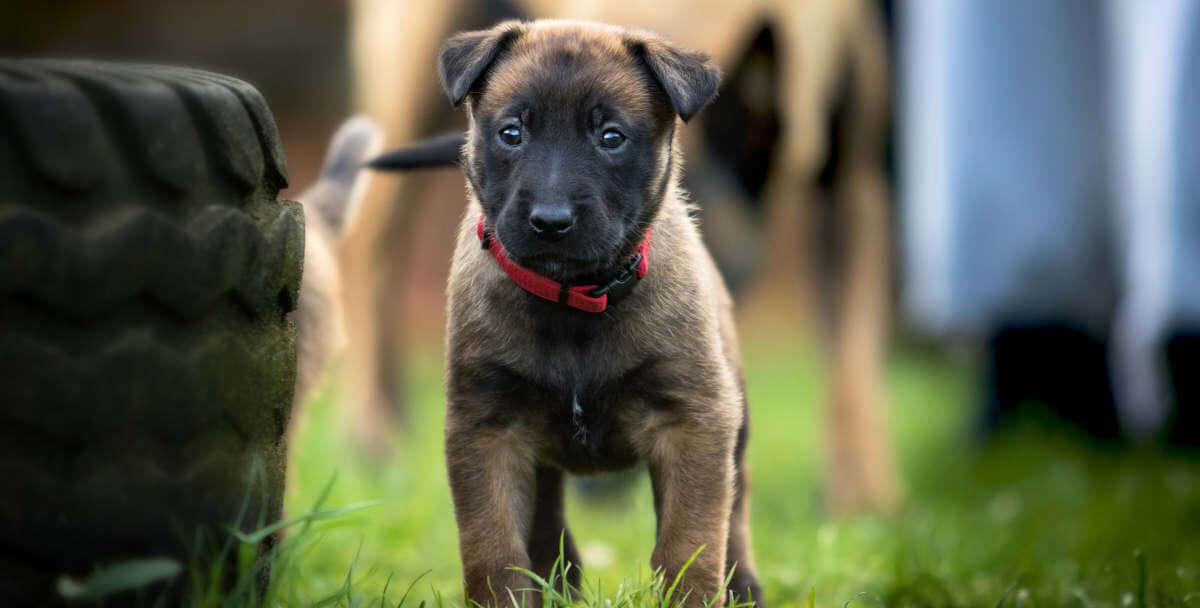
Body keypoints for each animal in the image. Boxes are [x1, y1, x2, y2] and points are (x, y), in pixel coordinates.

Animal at [436, 20, 758, 608]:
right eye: (511, 133)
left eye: (611, 137)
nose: (550, 221)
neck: (574, 303)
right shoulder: (487, 428)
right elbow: (493, 548)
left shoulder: (693, 421)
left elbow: (691, 543)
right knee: (546, 525)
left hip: (735, 424)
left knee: (737, 516)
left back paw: (745, 587)